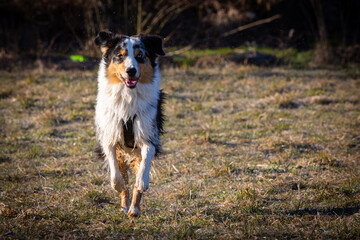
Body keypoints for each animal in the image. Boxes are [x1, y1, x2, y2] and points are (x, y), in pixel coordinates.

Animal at [93, 30, 165, 218]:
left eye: (140, 56)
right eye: (120, 56)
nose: (131, 71)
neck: (128, 95)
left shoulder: (148, 135)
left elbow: (145, 163)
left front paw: (142, 182)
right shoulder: (109, 136)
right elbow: (115, 173)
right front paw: (117, 185)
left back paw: (134, 209)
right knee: (123, 179)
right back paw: (125, 205)